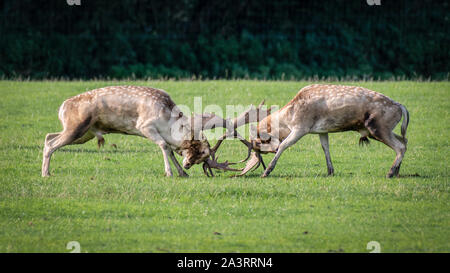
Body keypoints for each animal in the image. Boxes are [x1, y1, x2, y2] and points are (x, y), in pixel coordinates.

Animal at [41, 86, 264, 177]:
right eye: (200, 151)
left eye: (202, 157)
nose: (189, 165)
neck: (168, 119)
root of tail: (62, 107)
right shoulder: (144, 126)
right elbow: (165, 146)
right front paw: (169, 173)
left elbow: (171, 150)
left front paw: (182, 173)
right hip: (76, 127)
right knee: (51, 143)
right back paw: (45, 174)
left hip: (84, 133)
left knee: (48, 136)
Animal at [234, 84, 410, 177]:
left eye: (260, 145)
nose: (262, 166)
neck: (290, 116)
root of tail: (401, 107)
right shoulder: (321, 131)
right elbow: (325, 147)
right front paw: (330, 171)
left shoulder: (301, 127)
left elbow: (284, 145)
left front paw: (267, 172)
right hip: (383, 128)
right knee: (405, 140)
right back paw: (397, 171)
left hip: (377, 127)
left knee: (400, 146)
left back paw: (390, 173)